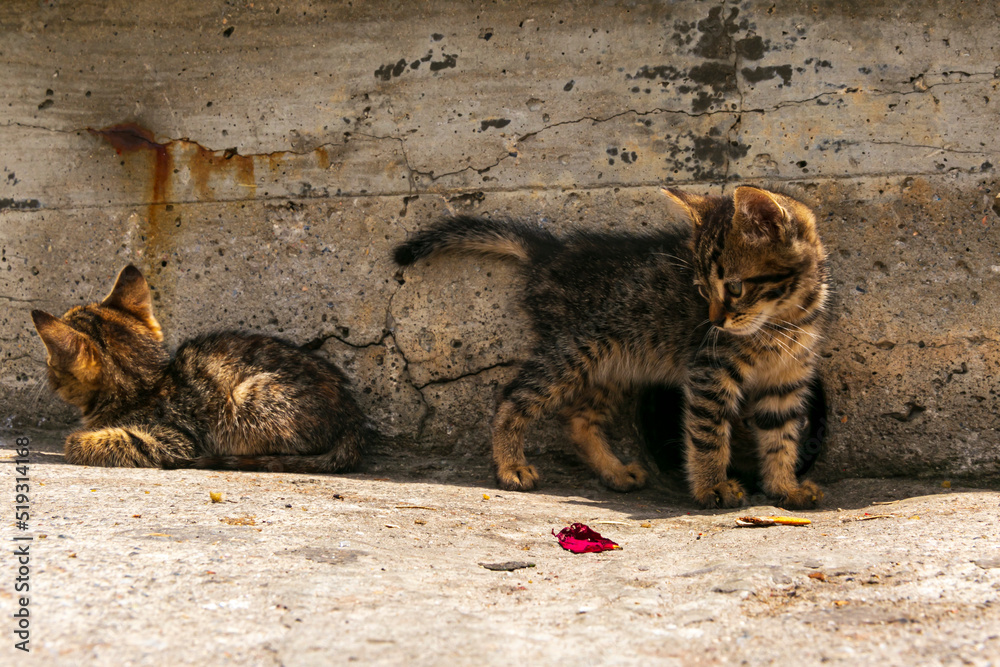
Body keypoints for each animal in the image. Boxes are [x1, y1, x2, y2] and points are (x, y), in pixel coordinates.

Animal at [30, 264, 372, 472]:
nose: (45, 369)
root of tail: (353, 419)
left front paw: (79, 438)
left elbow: (81, 442)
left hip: (246, 401)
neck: (147, 383)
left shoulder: (173, 440)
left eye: (51, 360)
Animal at [394, 185, 832, 508]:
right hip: (574, 351)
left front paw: (785, 487)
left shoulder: (786, 380)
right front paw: (713, 487)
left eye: (736, 289)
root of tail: (550, 253)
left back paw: (614, 471)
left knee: (578, 419)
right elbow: (708, 434)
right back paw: (511, 465)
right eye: (702, 290)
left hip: (619, 363)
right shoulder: (709, 371)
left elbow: (781, 436)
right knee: (512, 396)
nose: (714, 321)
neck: (785, 319)